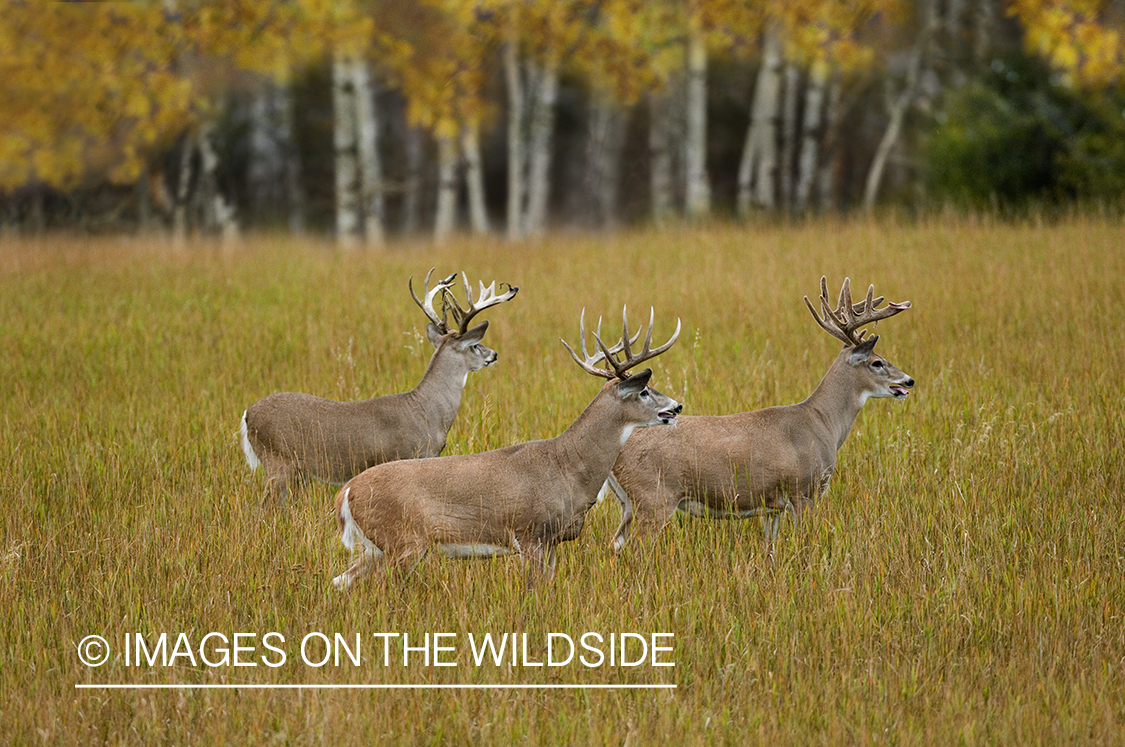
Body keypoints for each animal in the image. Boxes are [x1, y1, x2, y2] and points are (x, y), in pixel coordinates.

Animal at [241, 271, 517, 504]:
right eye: (475, 345)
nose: (494, 354)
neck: (429, 412)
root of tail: (247, 414)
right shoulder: (410, 456)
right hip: (277, 461)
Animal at [333, 306, 679, 589]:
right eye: (644, 391)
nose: (677, 406)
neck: (567, 466)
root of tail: (347, 492)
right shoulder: (531, 534)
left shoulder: (552, 542)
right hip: (403, 541)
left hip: (378, 548)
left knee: (341, 581)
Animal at [603, 276, 909, 551]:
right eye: (877, 362)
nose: (909, 381)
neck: (822, 422)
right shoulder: (803, 491)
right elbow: (805, 545)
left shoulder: (771, 506)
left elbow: (769, 548)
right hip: (654, 497)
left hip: (629, 502)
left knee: (615, 544)